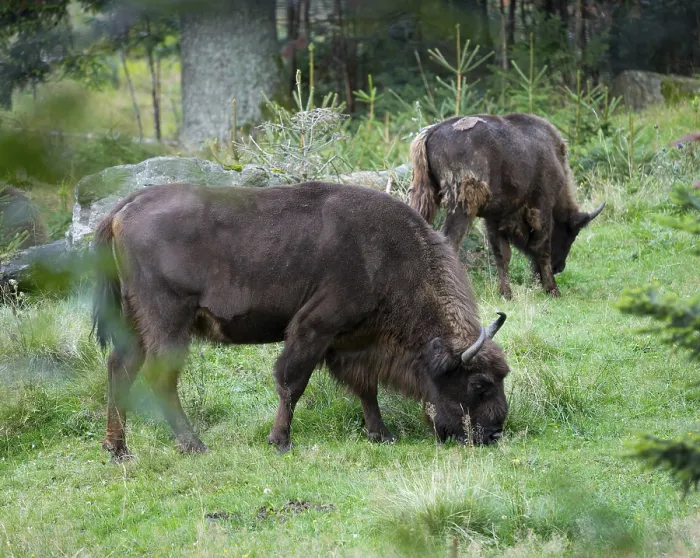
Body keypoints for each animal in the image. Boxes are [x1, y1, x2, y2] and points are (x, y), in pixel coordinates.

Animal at [92, 181, 511, 461]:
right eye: (480, 384)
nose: (493, 433)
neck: (388, 255)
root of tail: (123, 209)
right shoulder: (314, 328)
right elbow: (292, 383)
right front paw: (280, 441)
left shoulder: (351, 341)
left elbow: (366, 388)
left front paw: (381, 434)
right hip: (169, 323)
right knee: (159, 378)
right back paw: (194, 444)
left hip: (133, 323)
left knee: (119, 367)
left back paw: (118, 448)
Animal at [409, 113, 605, 298]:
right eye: (571, 234)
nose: (559, 267)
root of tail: (431, 132)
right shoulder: (542, 207)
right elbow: (542, 248)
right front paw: (553, 290)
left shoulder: (494, 218)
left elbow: (501, 255)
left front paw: (506, 294)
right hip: (461, 208)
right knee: (449, 242)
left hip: (425, 197)